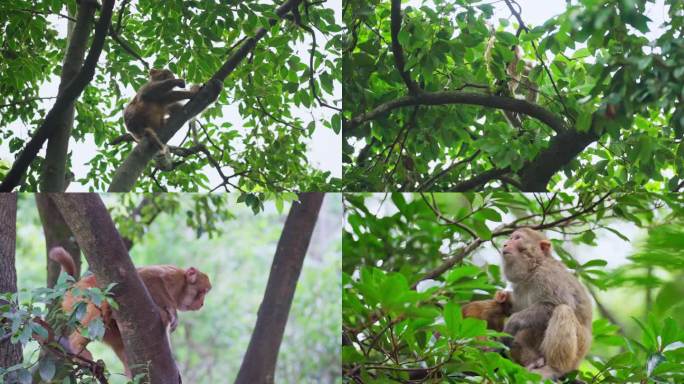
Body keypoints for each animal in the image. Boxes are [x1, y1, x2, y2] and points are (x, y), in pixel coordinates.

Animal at [48, 246, 211, 376]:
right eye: (202, 292)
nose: (202, 303)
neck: (181, 288)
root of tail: (73, 287)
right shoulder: (173, 274)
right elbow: (148, 277)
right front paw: (171, 310)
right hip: (81, 297)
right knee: (105, 301)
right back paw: (76, 345)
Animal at [496, 228, 592, 378]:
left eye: (517, 238)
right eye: (510, 238)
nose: (505, 244)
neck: (534, 267)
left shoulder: (548, 275)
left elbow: (557, 303)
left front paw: (512, 323)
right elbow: (516, 307)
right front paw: (504, 297)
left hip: (578, 352)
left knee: (562, 310)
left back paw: (554, 368)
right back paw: (533, 360)